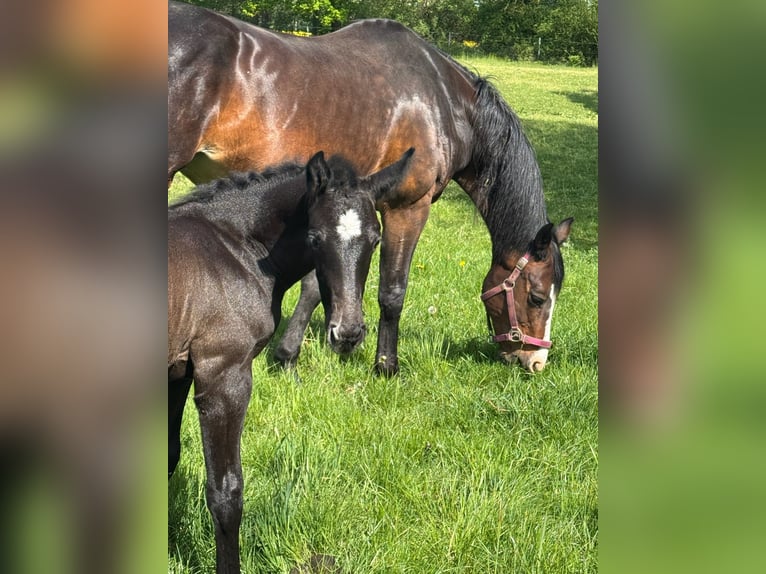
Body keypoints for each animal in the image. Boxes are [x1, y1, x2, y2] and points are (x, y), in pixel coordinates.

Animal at [168, 1, 573, 374]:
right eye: (537, 297)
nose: (536, 361)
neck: (443, 100)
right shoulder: (408, 208)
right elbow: (392, 291)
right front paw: (386, 366)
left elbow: (316, 283)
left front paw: (288, 356)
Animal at [168, 149, 413, 574]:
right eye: (315, 238)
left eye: (376, 238)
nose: (347, 333)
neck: (234, 247)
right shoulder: (223, 378)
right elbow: (226, 493)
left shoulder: (177, 374)